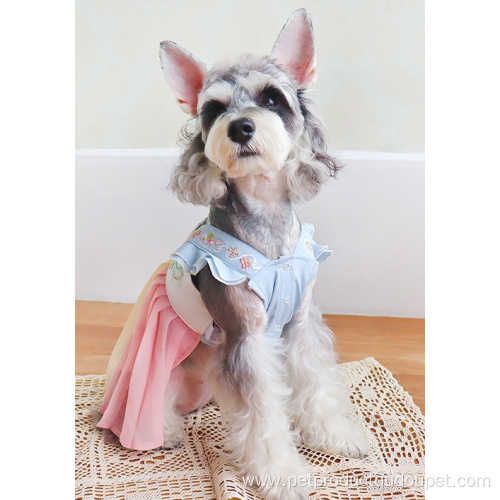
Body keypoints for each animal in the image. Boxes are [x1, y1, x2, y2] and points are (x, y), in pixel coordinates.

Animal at [99, 8, 370, 500]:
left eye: (272, 98)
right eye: (214, 109)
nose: (240, 126)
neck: (269, 233)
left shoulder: (302, 323)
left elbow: (317, 381)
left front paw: (335, 436)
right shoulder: (245, 338)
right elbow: (263, 413)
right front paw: (283, 473)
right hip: (155, 375)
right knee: (141, 408)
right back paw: (164, 432)